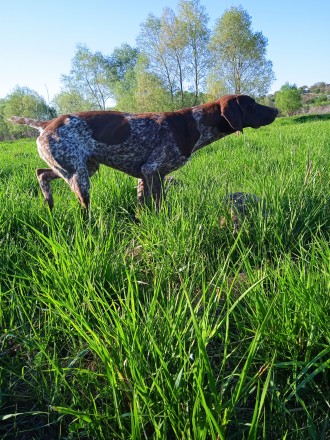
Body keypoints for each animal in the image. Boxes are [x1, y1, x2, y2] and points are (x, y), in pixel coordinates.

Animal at [9, 94, 278, 210]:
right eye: (251, 103)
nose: (276, 111)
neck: (197, 123)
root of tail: (46, 124)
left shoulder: (144, 176)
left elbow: (143, 206)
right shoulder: (153, 171)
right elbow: (159, 205)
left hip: (82, 167)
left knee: (41, 173)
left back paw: (49, 201)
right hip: (79, 176)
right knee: (83, 209)